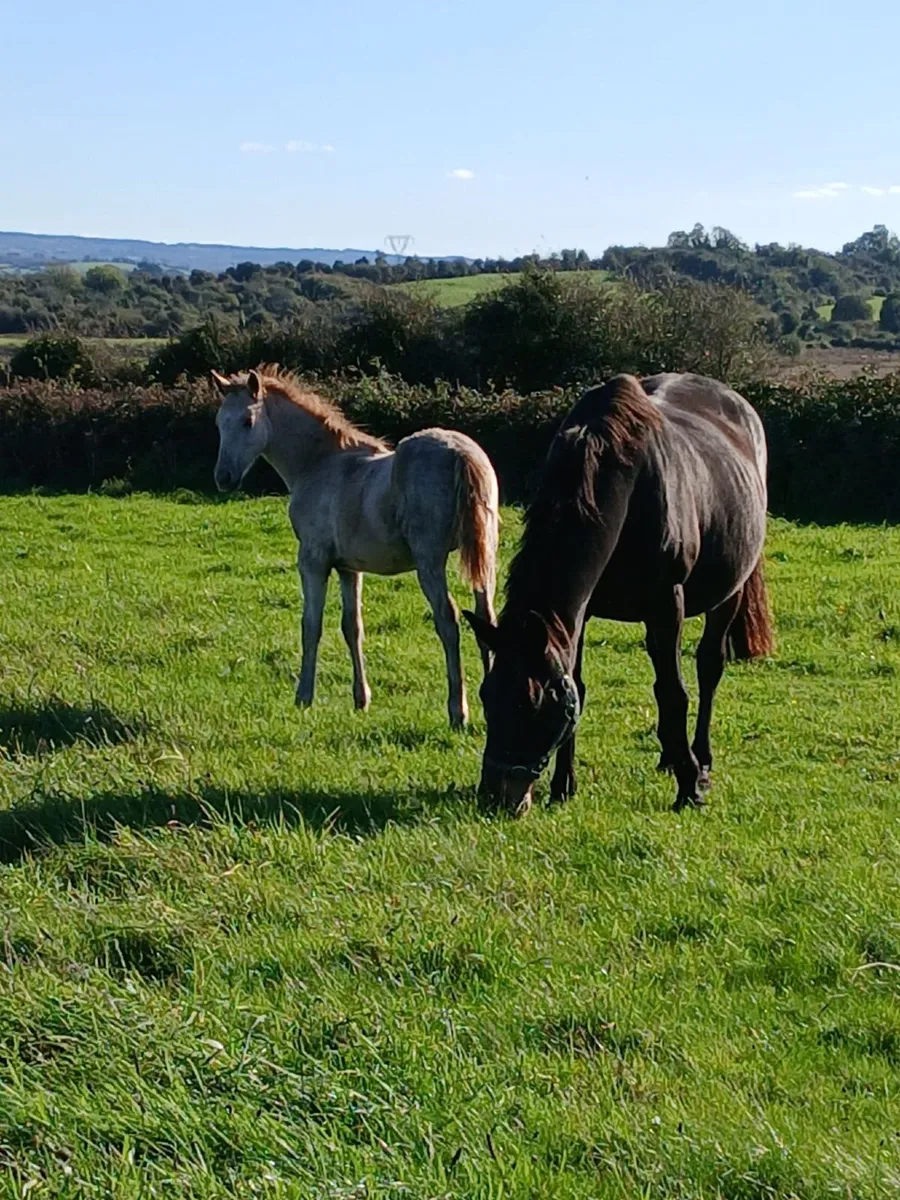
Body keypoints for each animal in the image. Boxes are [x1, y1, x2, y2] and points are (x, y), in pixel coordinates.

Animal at [211, 365, 499, 727]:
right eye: (219, 422)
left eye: (247, 421)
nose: (224, 478)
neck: (319, 463)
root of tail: (460, 453)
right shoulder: (349, 568)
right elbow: (353, 626)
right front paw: (361, 699)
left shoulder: (313, 561)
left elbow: (311, 625)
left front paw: (303, 697)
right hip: (484, 554)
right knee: (486, 616)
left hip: (430, 561)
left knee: (448, 620)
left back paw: (457, 711)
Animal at [463, 372, 773, 815]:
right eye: (487, 697)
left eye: (533, 704)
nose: (497, 798)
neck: (626, 489)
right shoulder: (582, 611)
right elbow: (580, 683)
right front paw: (563, 785)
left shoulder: (667, 603)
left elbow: (673, 692)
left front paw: (689, 787)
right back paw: (669, 756)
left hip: (726, 595)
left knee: (708, 667)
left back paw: (700, 760)